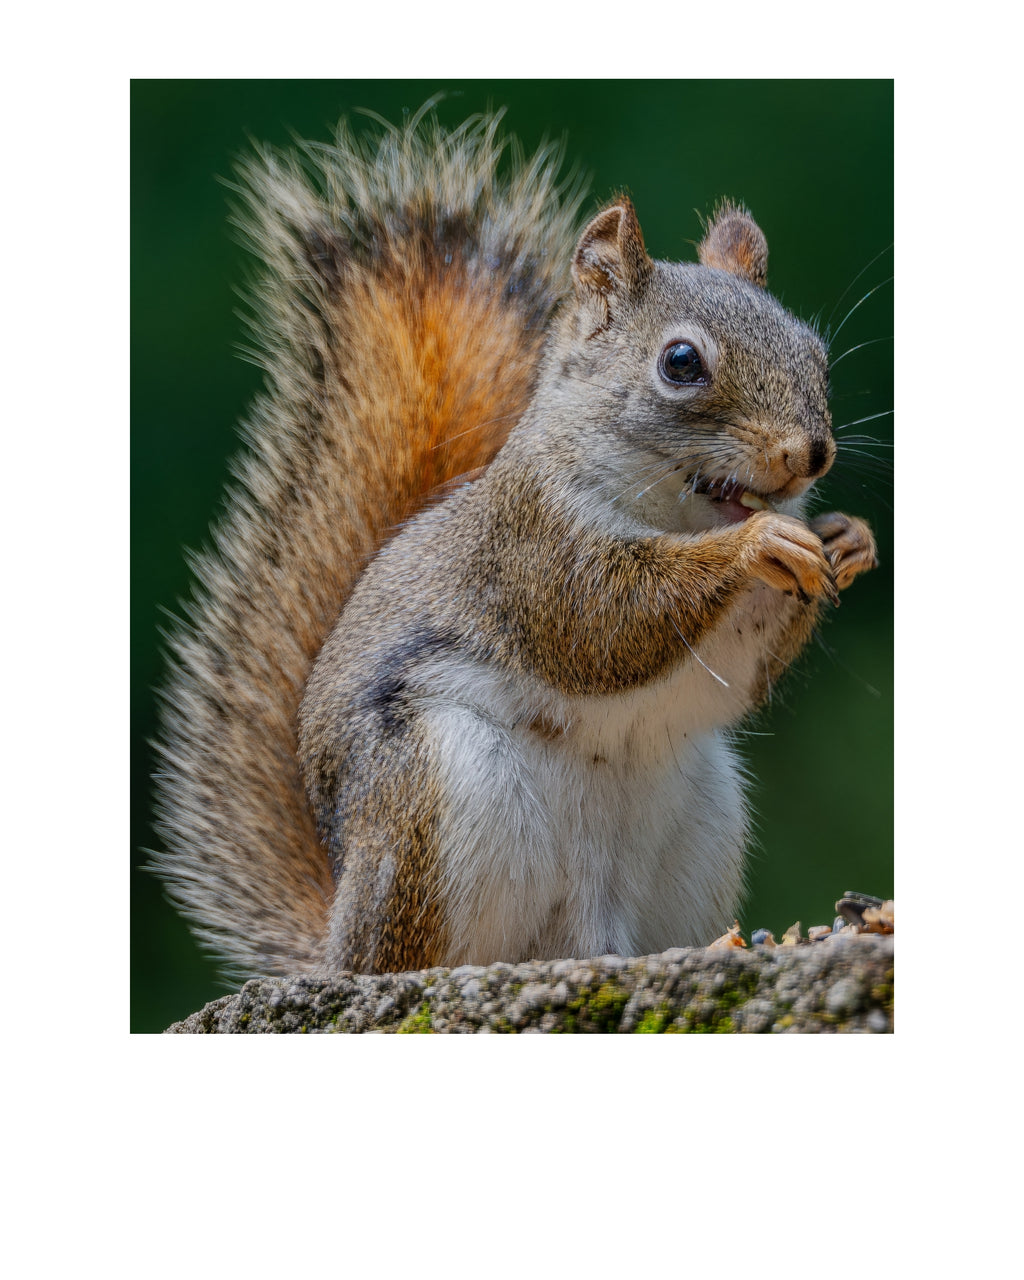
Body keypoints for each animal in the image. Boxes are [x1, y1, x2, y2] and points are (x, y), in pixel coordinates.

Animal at [151, 108, 878, 982]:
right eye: (680, 362)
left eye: (815, 353)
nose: (813, 456)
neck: (678, 513)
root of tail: (337, 946)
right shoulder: (532, 546)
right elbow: (602, 622)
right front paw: (757, 543)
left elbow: (742, 674)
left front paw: (846, 539)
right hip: (434, 801)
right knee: (418, 954)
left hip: (699, 822)